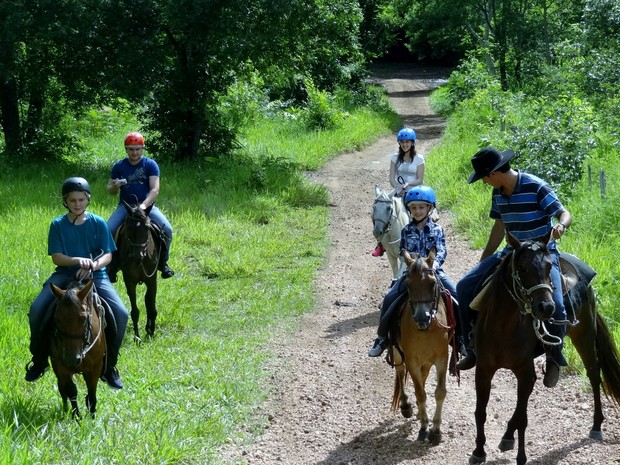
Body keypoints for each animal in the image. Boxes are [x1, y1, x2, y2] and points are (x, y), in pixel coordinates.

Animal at [49, 280, 105, 416]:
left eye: (83, 318)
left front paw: (91, 417)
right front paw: (76, 417)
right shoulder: (61, 366)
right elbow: (71, 391)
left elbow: (91, 393)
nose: (72, 360)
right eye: (56, 319)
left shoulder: (96, 366)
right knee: (62, 389)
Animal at [116, 200, 160, 340]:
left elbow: (152, 307)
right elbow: (135, 311)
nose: (137, 256)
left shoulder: (152, 280)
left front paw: (151, 332)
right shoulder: (129, 281)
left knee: (148, 300)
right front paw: (137, 337)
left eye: (147, 228)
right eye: (129, 228)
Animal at [392, 250, 456, 442]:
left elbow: (439, 392)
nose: (422, 318)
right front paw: (423, 428)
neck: (426, 330)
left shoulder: (442, 359)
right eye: (408, 284)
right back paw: (407, 406)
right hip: (397, 353)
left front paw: (435, 430)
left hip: (427, 362)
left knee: (423, 375)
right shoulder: (412, 360)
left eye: (432, 283)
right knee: (400, 372)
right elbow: (420, 392)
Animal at [468, 232, 620, 464]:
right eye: (522, 268)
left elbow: (523, 418)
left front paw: (521, 456)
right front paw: (478, 451)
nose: (546, 307)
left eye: (549, 267)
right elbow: (481, 411)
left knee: (594, 375)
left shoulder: (524, 372)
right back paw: (507, 436)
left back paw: (596, 426)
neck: (503, 326)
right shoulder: (484, 369)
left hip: (584, 336)